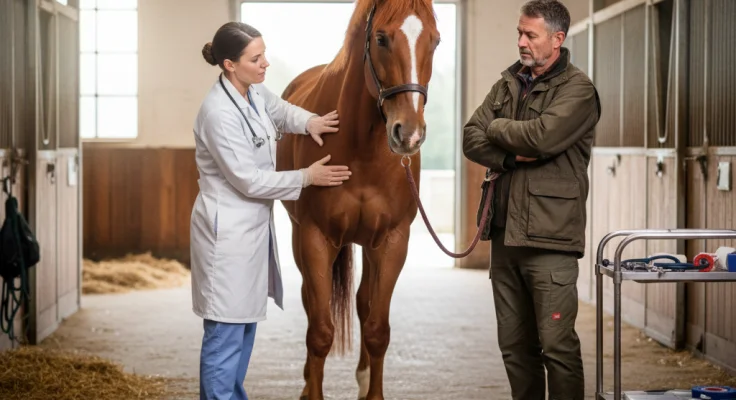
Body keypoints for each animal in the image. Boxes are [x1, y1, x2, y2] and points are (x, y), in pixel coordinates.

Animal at [275, 0, 441, 399]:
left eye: (435, 40)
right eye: (381, 38)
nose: (409, 135)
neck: (362, 149)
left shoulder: (393, 241)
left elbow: (377, 328)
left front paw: (372, 389)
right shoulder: (315, 238)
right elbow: (320, 332)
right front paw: (311, 389)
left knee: (364, 304)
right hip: (300, 237)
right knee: (311, 302)